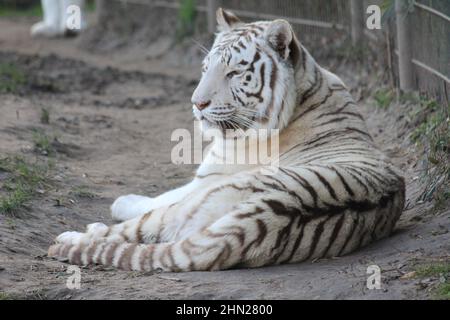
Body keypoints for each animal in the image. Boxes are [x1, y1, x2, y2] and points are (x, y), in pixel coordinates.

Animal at [48, 8, 404, 272]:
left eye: (234, 73)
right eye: (206, 67)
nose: (197, 103)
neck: (306, 91)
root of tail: (259, 219)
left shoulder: (206, 181)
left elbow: (160, 197)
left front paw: (121, 202)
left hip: (194, 205)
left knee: (129, 231)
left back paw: (73, 237)